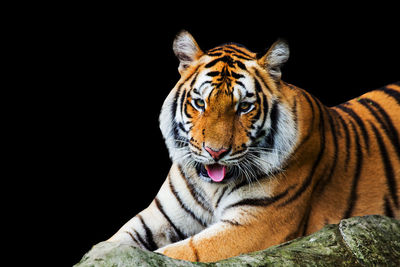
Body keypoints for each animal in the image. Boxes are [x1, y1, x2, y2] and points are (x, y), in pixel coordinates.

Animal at [107, 30, 400, 262]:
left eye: (244, 107)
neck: (210, 188)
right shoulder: (158, 217)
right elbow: (112, 243)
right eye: (200, 103)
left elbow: (183, 252)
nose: (215, 152)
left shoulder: (253, 226)